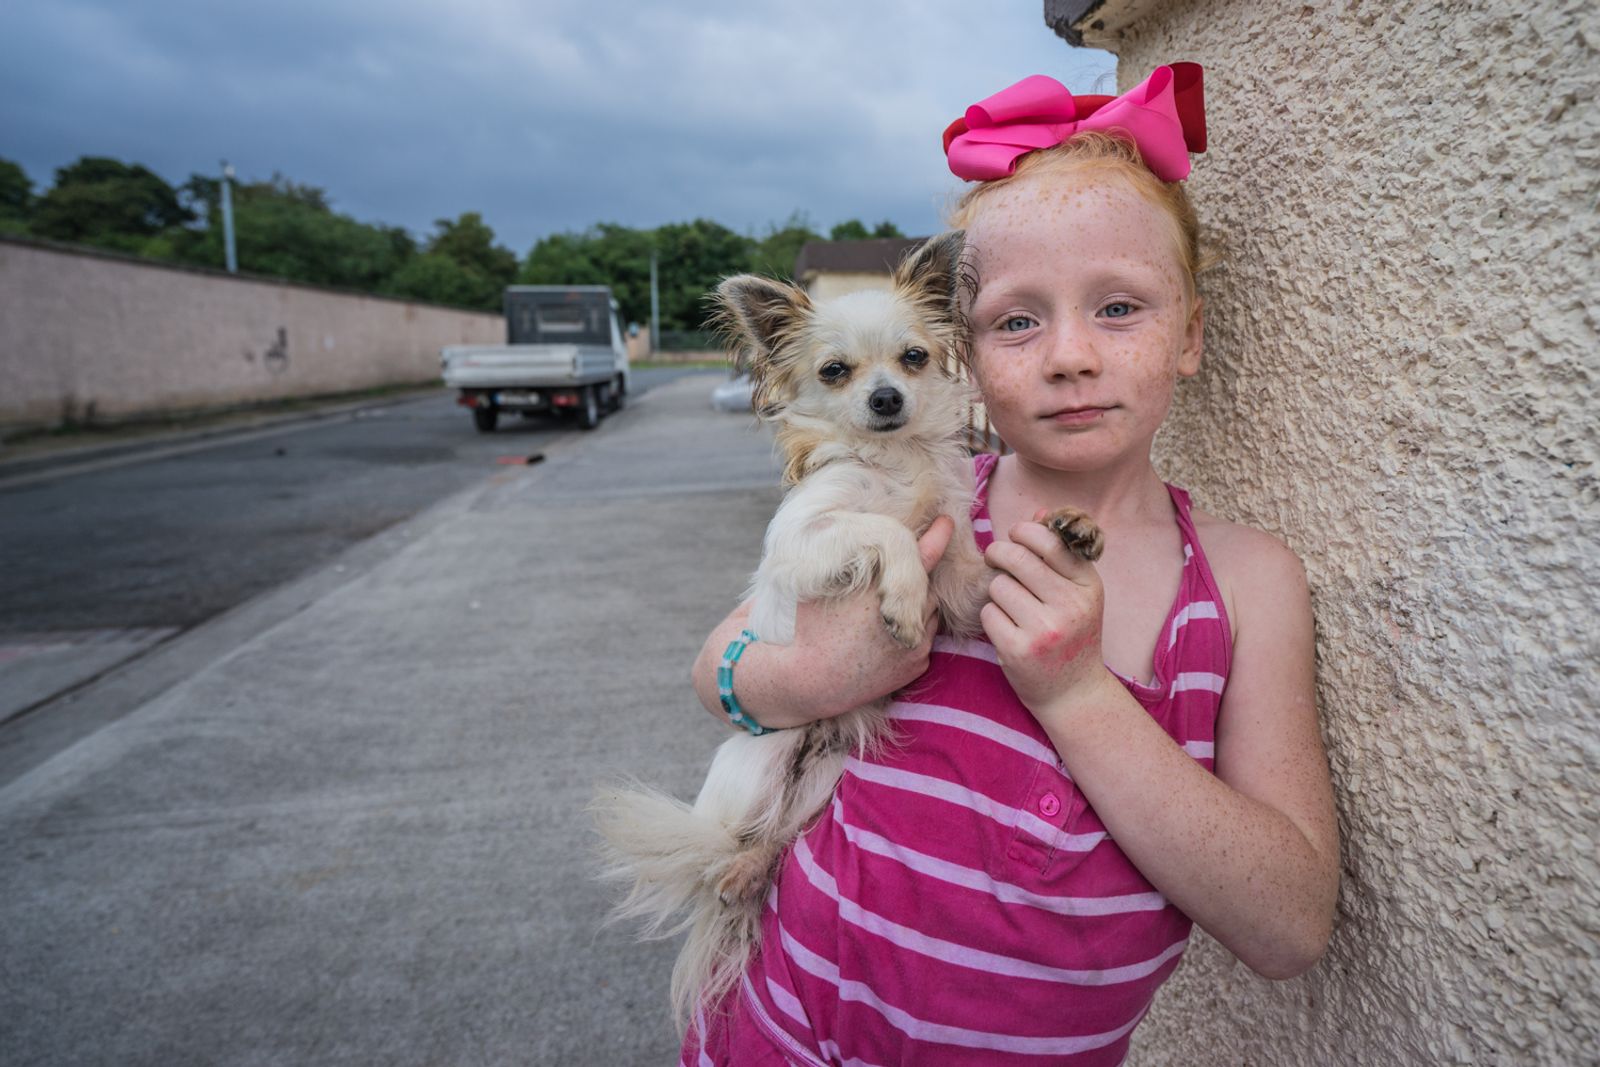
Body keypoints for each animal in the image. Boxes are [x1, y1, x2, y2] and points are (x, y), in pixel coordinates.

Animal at [595, 231, 1107, 1023]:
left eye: (914, 358)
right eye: (835, 372)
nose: (886, 397)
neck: (893, 461)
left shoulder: (961, 581)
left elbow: (992, 563)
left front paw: (1066, 526)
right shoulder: (802, 545)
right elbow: (880, 529)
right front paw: (899, 597)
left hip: (824, 782)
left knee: (772, 840)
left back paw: (748, 872)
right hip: (761, 759)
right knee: (730, 837)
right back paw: (727, 865)